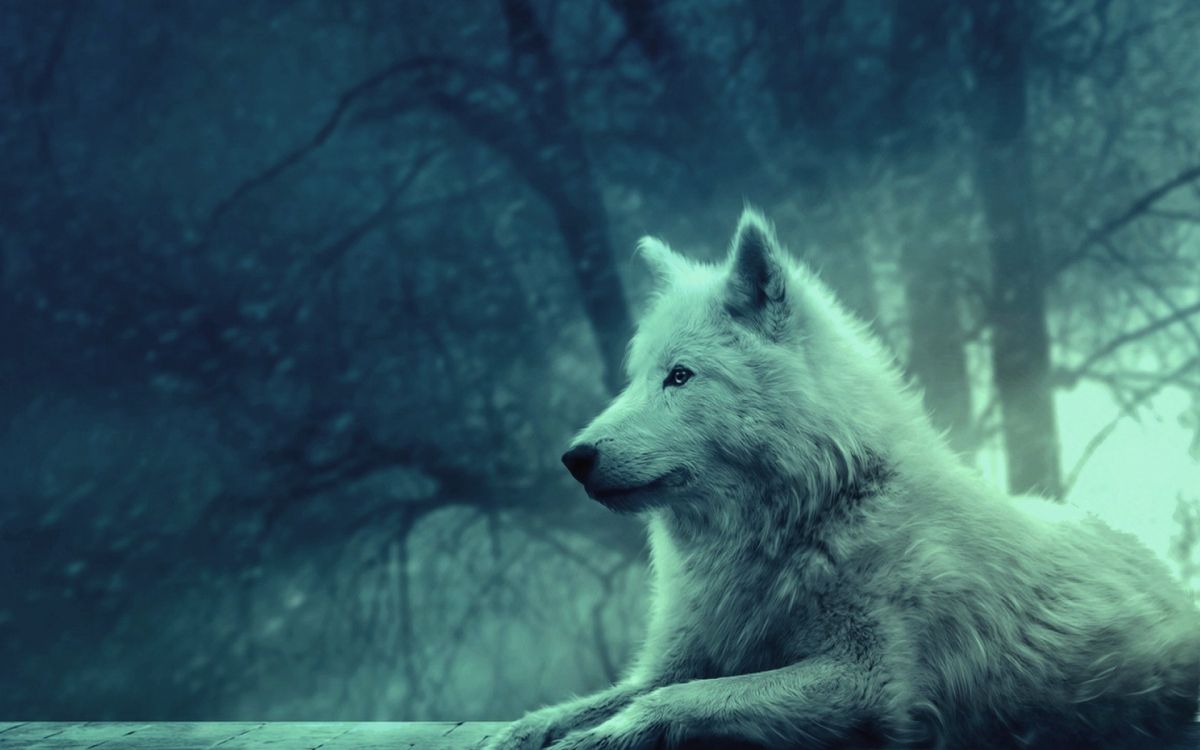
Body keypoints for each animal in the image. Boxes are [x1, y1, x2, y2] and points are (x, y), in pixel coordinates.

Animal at [487, 210, 1200, 750]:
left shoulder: (866, 682)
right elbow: (599, 700)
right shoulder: (676, 658)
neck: (811, 514)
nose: (574, 457)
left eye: (680, 376)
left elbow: (678, 699)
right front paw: (523, 731)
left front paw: (601, 737)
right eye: (635, 377)